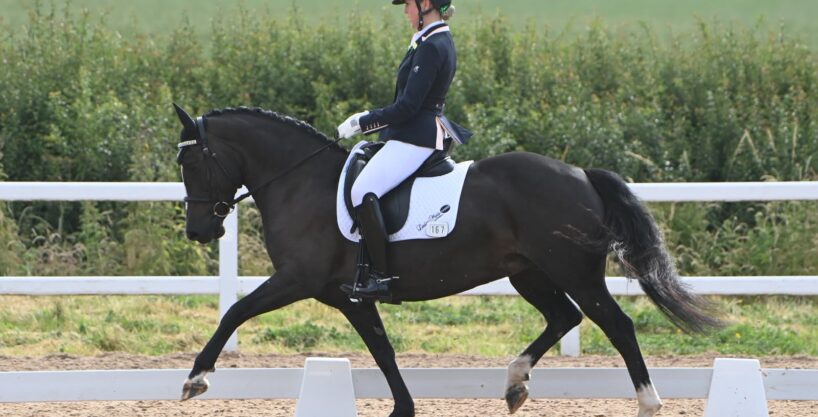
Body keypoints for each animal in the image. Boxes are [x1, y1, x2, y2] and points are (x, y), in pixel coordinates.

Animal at [172, 104, 721, 417]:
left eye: (191, 160)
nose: (200, 231)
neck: (298, 181)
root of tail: (581, 174)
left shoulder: (296, 279)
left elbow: (235, 311)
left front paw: (195, 379)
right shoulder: (349, 297)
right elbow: (383, 350)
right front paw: (403, 408)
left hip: (572, 271)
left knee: (615, 323)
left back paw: (648, 402)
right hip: (528, 272)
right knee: (564, 317)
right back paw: (515, 382)